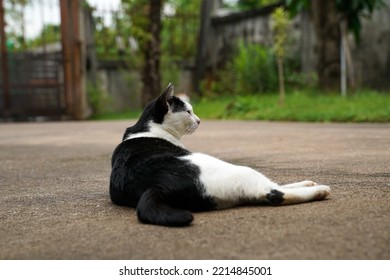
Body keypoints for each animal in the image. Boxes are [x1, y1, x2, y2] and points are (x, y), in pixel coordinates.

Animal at [109, 84, 330, 226]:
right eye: (188, 112)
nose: (199, 121)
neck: (148, 129)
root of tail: (157, 186)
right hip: (241, 171)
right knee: (274, 193)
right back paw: (319, 190)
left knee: (272, 189)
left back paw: (309, 184)